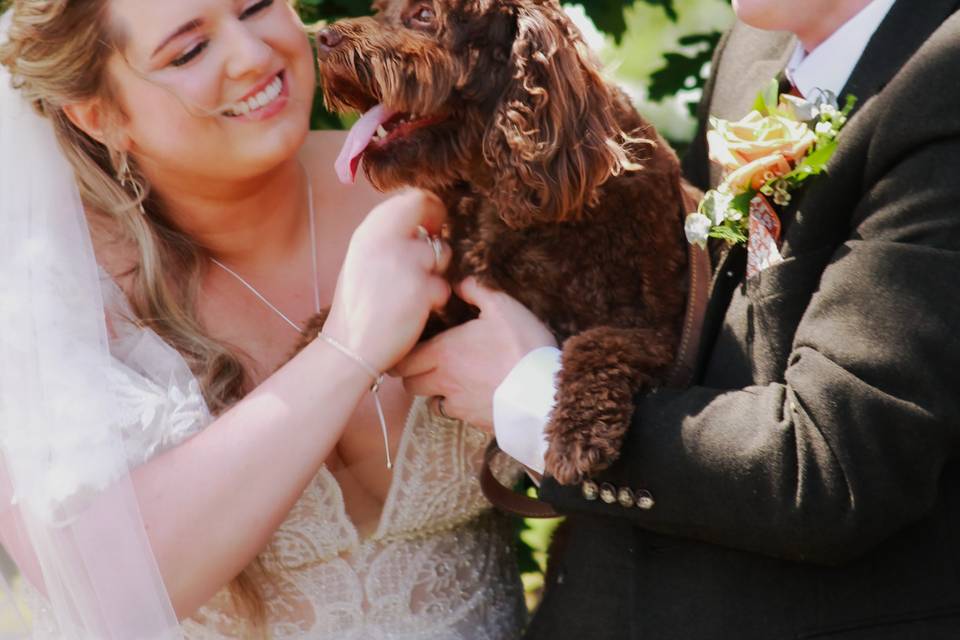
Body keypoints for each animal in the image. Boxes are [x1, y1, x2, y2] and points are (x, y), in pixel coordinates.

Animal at [316, 0, 696, 482]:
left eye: (424, 15)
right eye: (381, 10)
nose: (323, 38)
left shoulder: (659, 331)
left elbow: (596, 343)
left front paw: (576, 433)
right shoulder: (460, 299)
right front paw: (320, 331)